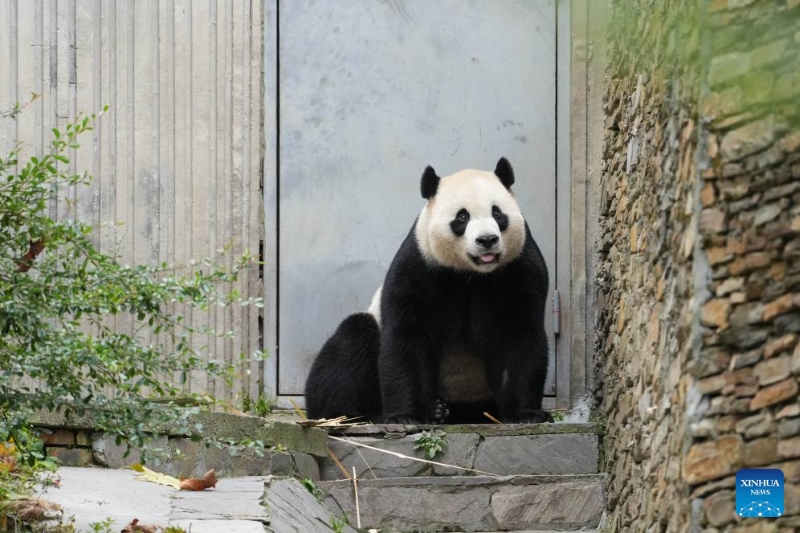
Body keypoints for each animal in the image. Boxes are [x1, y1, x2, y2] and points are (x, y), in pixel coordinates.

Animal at [304, 157, 552, 424]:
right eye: (462, 217)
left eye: (497, 213)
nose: (487, 240)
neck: (472, 274)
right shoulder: (421, 264)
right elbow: (408, 335)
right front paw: (404, 417)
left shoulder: (518, 268)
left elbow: (519, 336)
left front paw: (526, 414)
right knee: (350, 345)